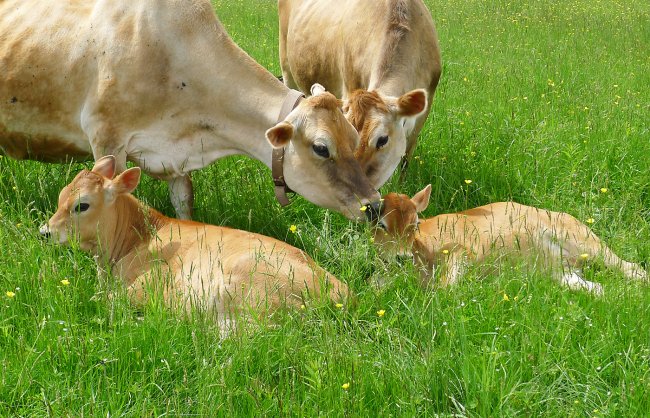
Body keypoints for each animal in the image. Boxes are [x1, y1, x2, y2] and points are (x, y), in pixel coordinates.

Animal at [1, 0, 380, 220]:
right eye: (321, 148)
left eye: (354, 136)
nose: (374, 206)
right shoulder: (107, 139)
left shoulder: (175, 160)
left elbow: (184, 205)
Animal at [39, 155, 346, 332]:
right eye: (61, 196)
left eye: (82, 205)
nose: (45, 232)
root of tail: (340, 290)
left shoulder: (145, 285)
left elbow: (104, 300)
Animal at [372, 183, 644, 294]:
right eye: (381, 224)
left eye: (414, 225)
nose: (401, 257)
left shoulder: (463, 249)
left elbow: (445, 286)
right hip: (560, 272)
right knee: (596, 288)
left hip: (586, 241)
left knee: (633, 268)